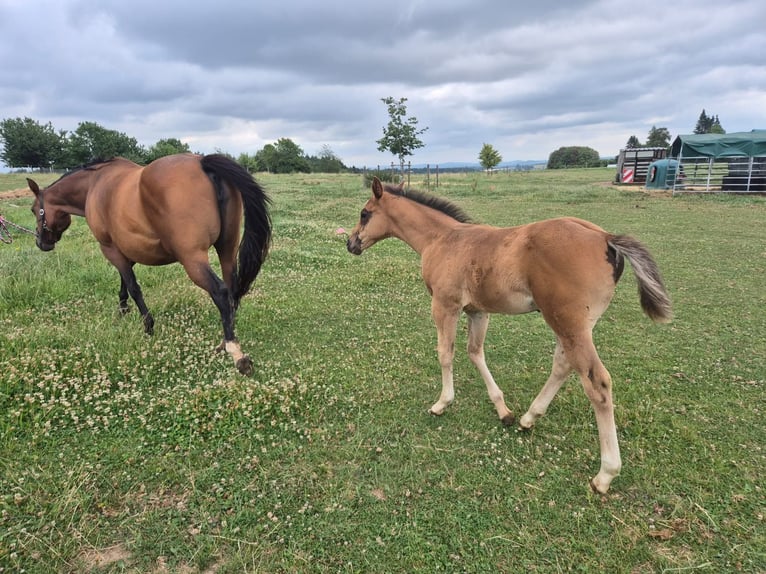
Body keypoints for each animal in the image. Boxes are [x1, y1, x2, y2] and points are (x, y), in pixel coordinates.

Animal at [27, 153, 271, 375]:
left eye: (34, 210)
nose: (41, 242)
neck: (94, 184)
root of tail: (203, 162)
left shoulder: (110, 248)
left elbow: (134, 287)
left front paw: (147, 325)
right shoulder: (127, 249)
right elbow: (124, 282)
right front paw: (123, 309)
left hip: (192, 258)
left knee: (220, 292)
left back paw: (236, 353)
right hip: (227, 249)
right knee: (232, 291)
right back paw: (223, 343)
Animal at [347, 177, 672, 493]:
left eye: (364, 213)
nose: (350, 243)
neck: (442, 239)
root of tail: (606, 238)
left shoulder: (445, 305)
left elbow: (445, 353)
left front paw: (442, 403)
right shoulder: (478, 311)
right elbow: (475, 352)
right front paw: (504, 410)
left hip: (569, 324)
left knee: (597, 383)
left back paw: (605, 475)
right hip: (573, 324)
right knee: (563, 365)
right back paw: (529, 418)